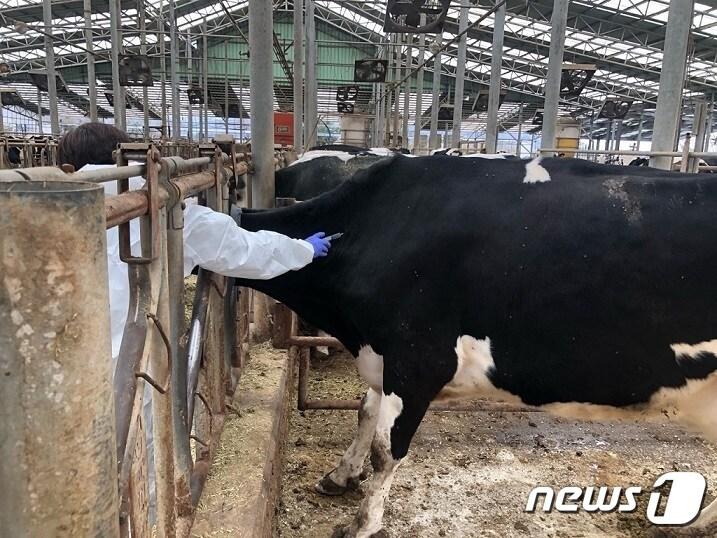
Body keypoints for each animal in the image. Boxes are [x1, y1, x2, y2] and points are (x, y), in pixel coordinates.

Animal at [238, 153, 716, 532]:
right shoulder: (382, 355)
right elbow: (364, 414)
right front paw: (340, 477)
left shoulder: (418, 358)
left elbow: (386, 450)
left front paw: (362, 524)